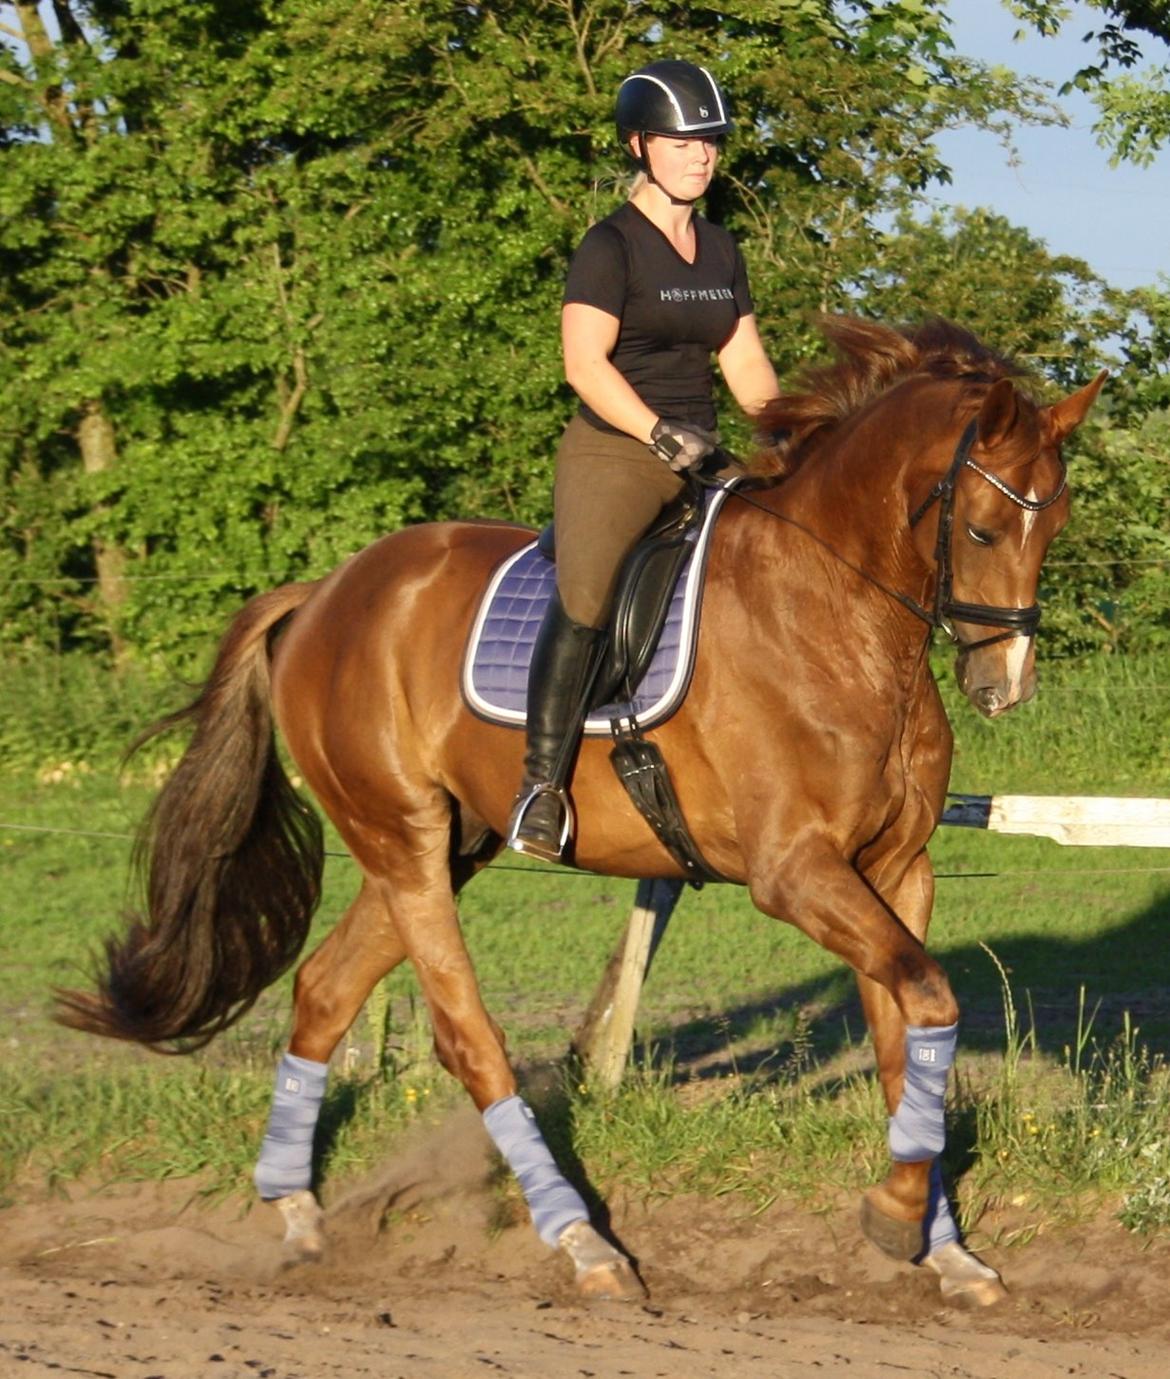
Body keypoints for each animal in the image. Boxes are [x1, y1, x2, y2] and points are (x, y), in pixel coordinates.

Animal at [59, 317, 1103, 1307]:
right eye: (981, 531)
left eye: (1054, 528)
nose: (1003, 686)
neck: (840, 615)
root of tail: (324, 594)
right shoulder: (795, 871)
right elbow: (926, 999)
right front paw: (900, 1216)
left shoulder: (895, 870)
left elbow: (906, 1030)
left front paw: (939, 1245)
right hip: (402, 837)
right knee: (466, 1037)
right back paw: (581, 1242)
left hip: (445, 845)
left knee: (323, 987)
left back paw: (297, 1210)